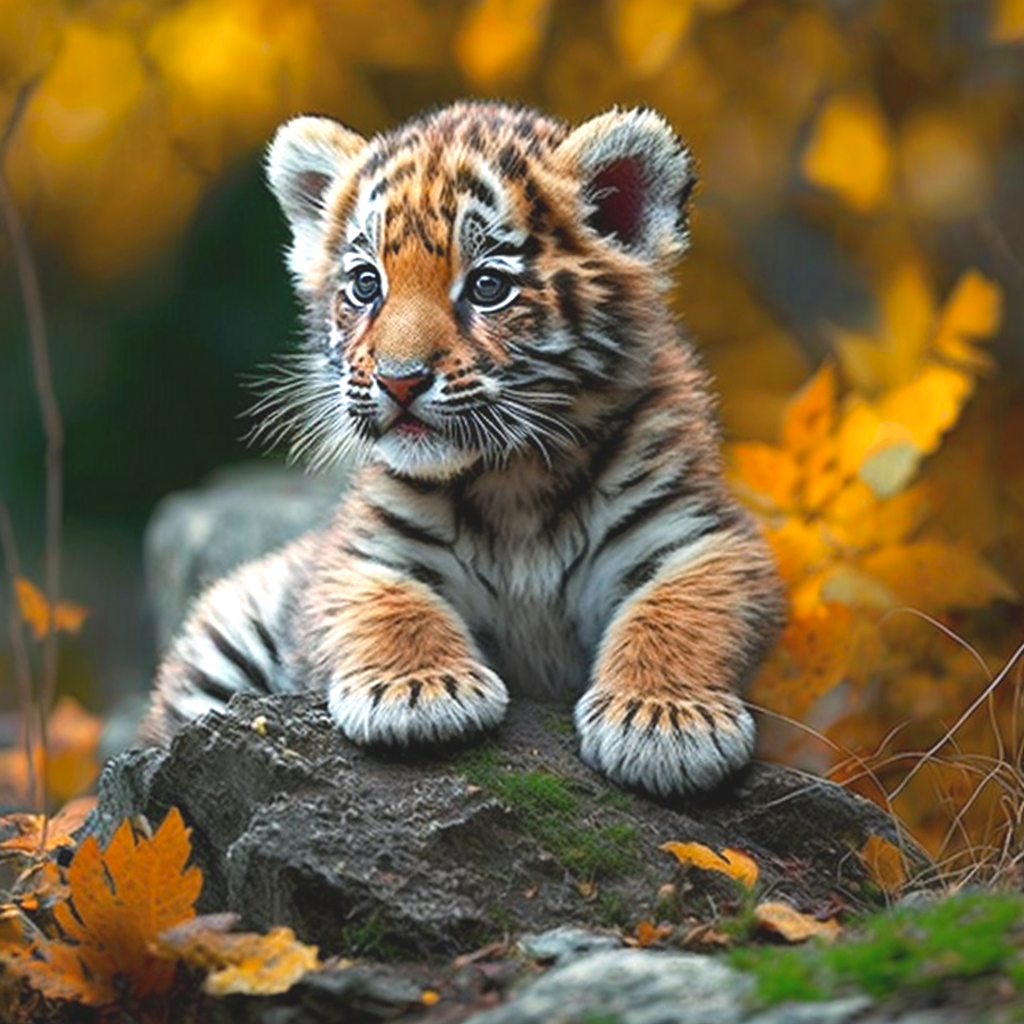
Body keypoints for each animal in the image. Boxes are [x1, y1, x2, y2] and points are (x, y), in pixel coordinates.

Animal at [141, 100, 784, 797]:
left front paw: (664, 720)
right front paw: (419, 691)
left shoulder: (701, 535)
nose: (399, 380)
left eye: (486, 287)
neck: (515, 481)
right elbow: (391, 604)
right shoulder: (363, 553)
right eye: (366, 284)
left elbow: (680, 607)